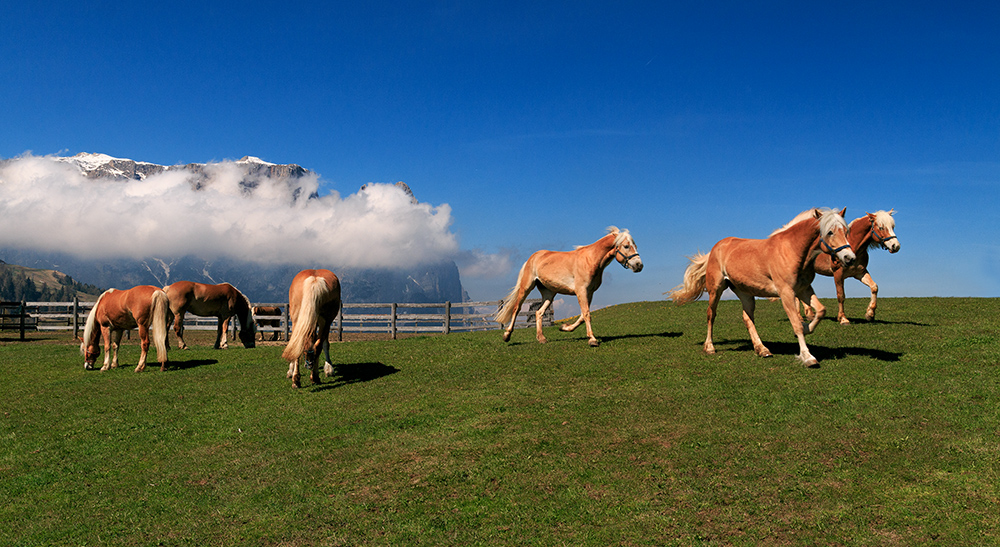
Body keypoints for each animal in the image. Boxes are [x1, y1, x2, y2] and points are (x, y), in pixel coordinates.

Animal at [496, 226, 644, 346]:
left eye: (636, 246)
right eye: (626, 246)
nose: (639, 265)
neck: (590, 260)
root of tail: (532, 258)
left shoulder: (589, 293)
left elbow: (582, 316)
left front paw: (564, 328)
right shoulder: (581, 291)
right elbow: (586, 314)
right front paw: (592, 340)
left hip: (549, 293)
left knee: (539, 312)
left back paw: (542, 338)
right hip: (526, 287)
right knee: (516, 308)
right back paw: (507, 336)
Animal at [668, 210, 856, 368]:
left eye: (846, 231)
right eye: (830, 232)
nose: (850, 258)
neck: (792, 250)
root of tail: (716, 247)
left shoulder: (804, 290)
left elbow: (821, 311)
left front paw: (806, 328)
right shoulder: (786, 292)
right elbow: (795, 322)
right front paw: (807, 356)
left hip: (745, 293)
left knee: (747, 318)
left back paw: (762, 349)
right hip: (716, 289)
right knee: (711, 315)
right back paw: (709, 347)